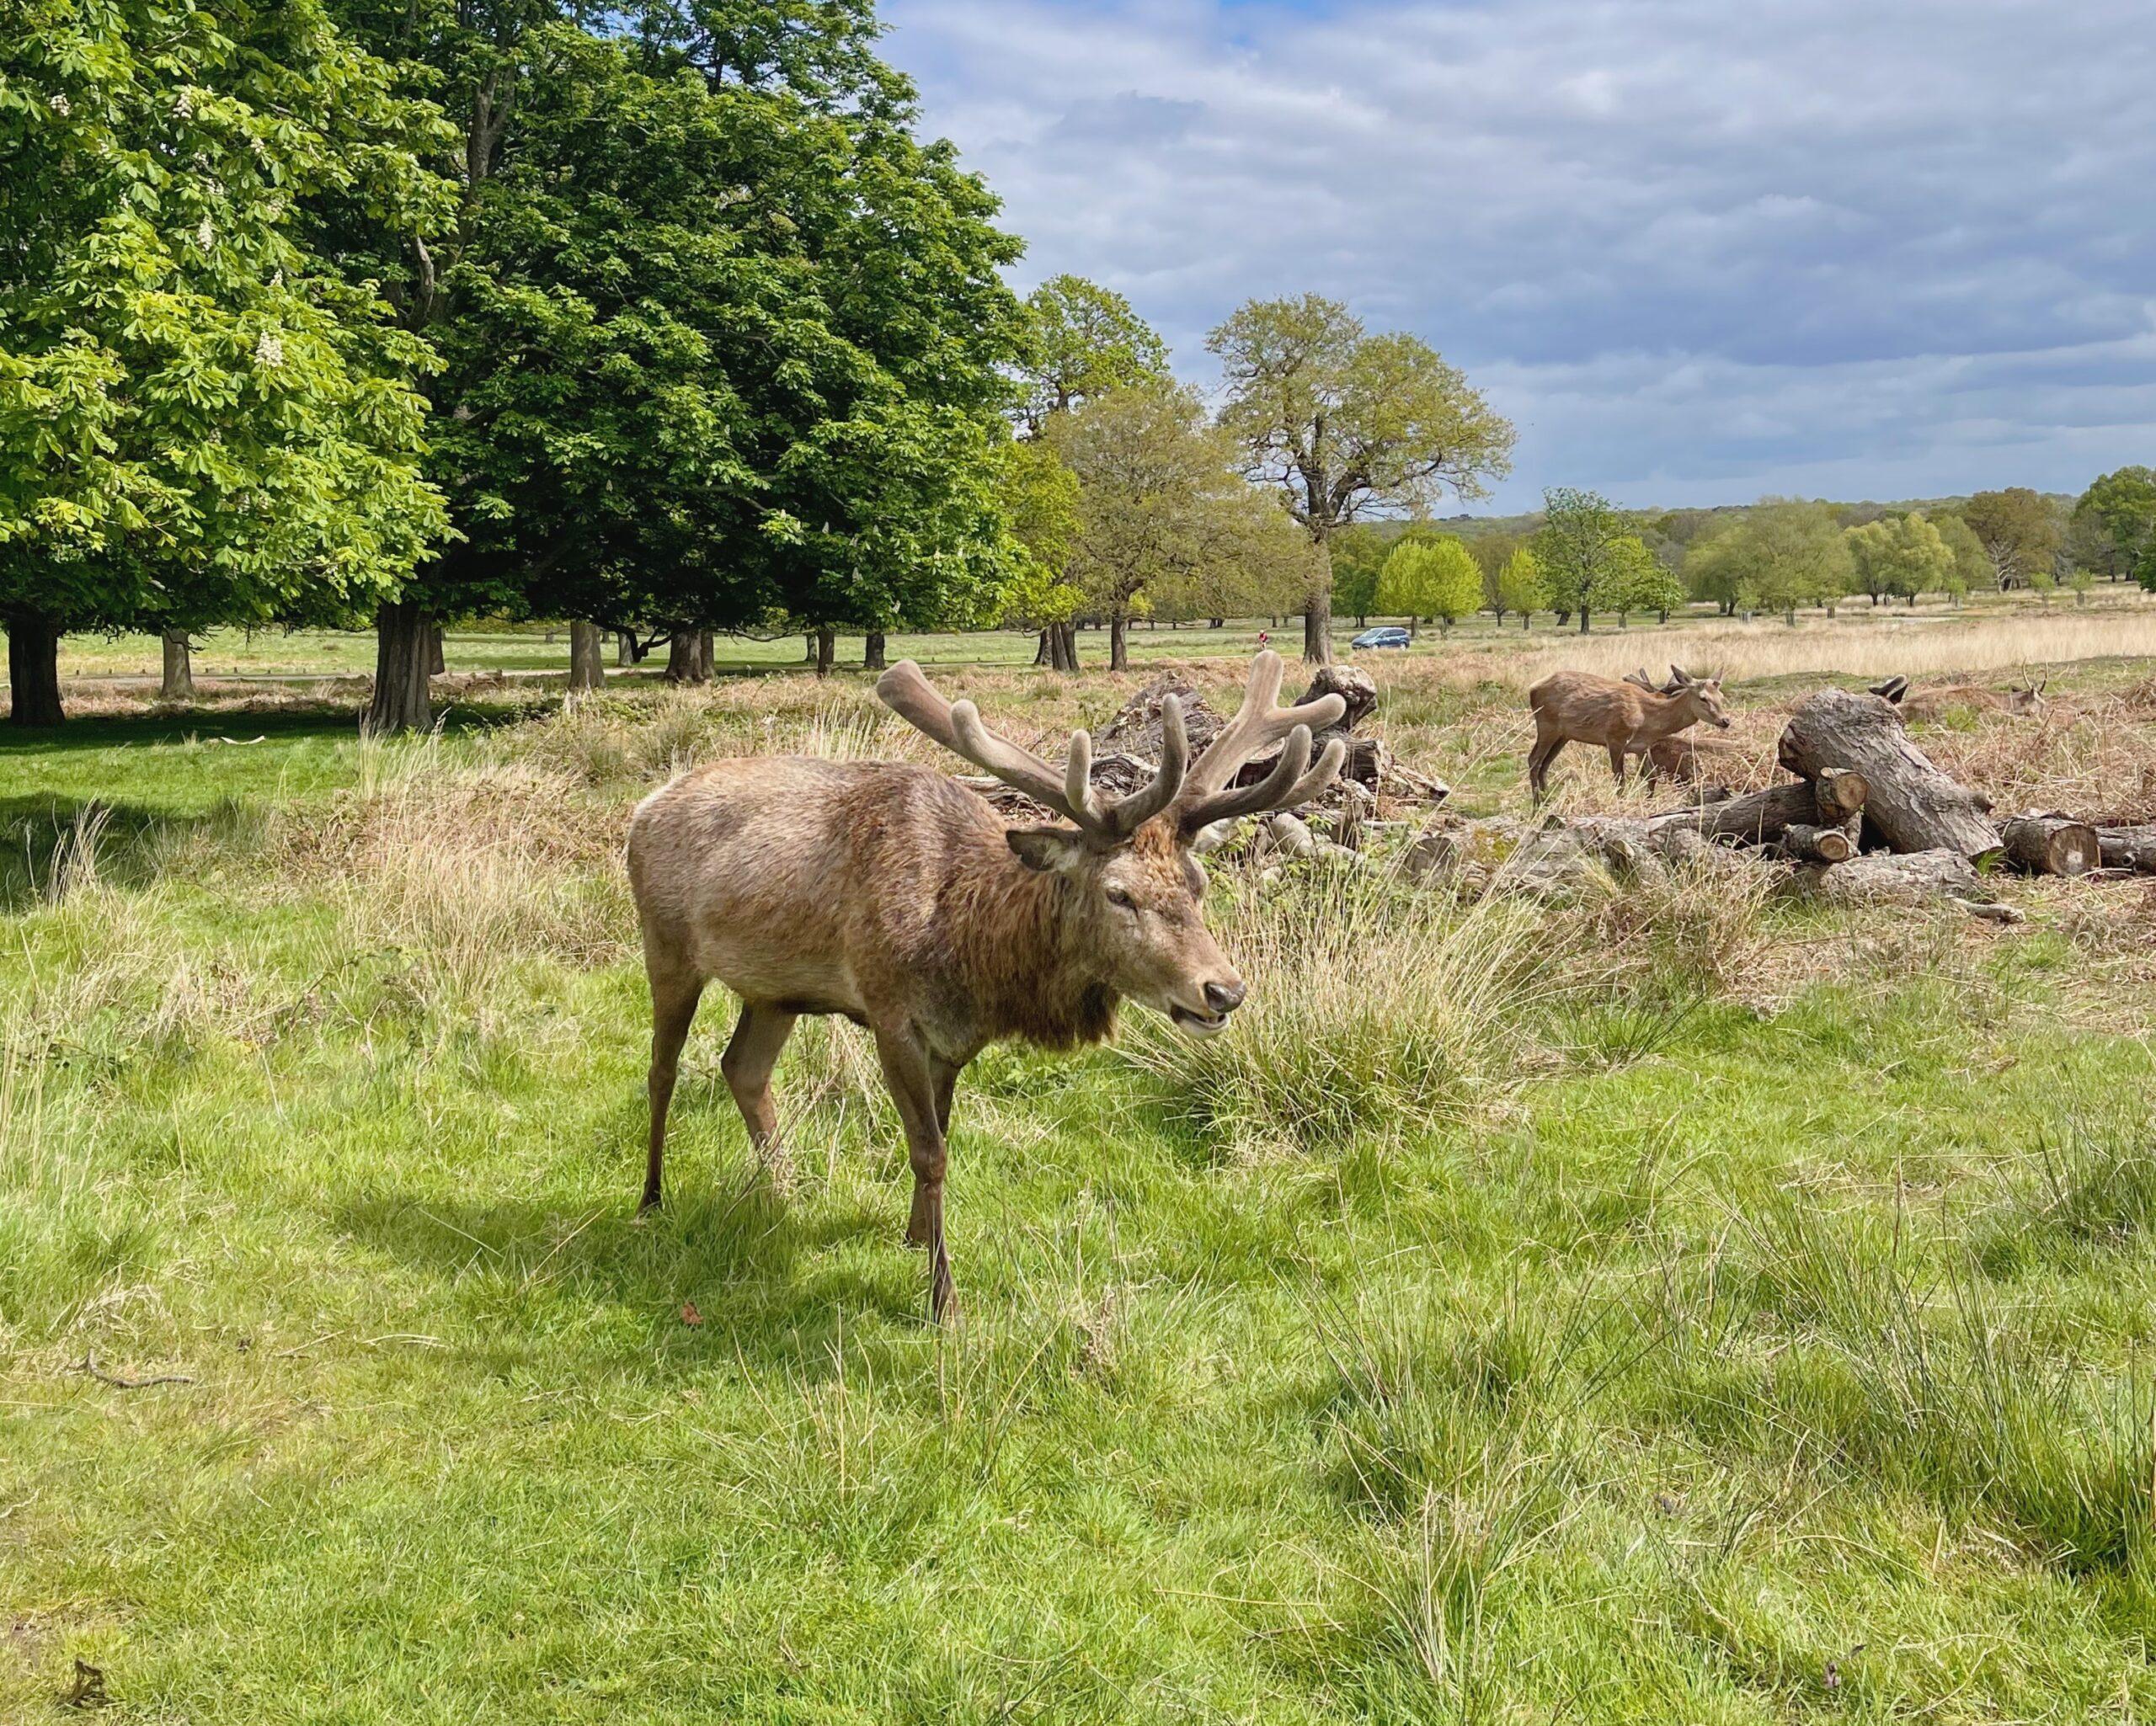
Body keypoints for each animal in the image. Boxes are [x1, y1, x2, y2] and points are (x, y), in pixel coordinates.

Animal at [616, 650, 1337, 1318]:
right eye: (1119, 894)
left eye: (1198, 884)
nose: (1224, 991)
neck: (971, 953)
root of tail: (643, 806)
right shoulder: (889, 1011)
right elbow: (928, 1152)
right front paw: (943, 1301)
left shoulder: (955, 1039)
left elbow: (941, 1134)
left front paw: (913, 1236)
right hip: (665, 942)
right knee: (662, 1068)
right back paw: (652, 1197)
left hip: (774, 991)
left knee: (742, 1067)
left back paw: (784, 1191)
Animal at [1518, 659, 1733, 802]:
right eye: (1703, 698)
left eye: (1721, 696)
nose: (1726, 720)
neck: (1647, 719)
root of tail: (1532, 688)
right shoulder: (1615, 737)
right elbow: (1620, 778)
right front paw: (1620, 803)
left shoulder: (1642, 747)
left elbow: (1652, 776)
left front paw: (1648, 802)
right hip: (1546, 724)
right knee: (1534, 760)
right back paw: (1537, 805)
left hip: (1564, 735)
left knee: (1545, 764)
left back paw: (1547, 800)